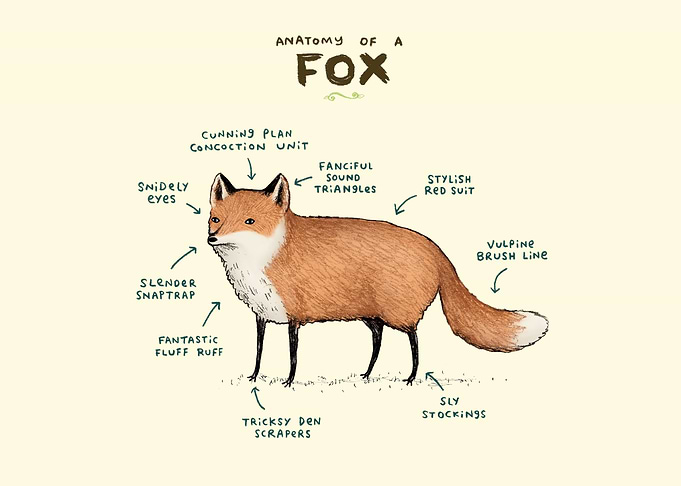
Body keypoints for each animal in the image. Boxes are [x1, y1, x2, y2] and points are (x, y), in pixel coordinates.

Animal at [207, 173, 548, 387]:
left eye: (249, 221)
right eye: (216, 219)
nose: (212, 238)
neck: (265, 257)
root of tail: (434, 248)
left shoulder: (294, 316)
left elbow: (292, 356)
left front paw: (288, 382)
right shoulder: (262, 314)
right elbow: (259, 351)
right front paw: (254, 378)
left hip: (400, 315)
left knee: (414, 340)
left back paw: (411, 377)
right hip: (373, 316)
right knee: (378, 342)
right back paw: (367, 375)